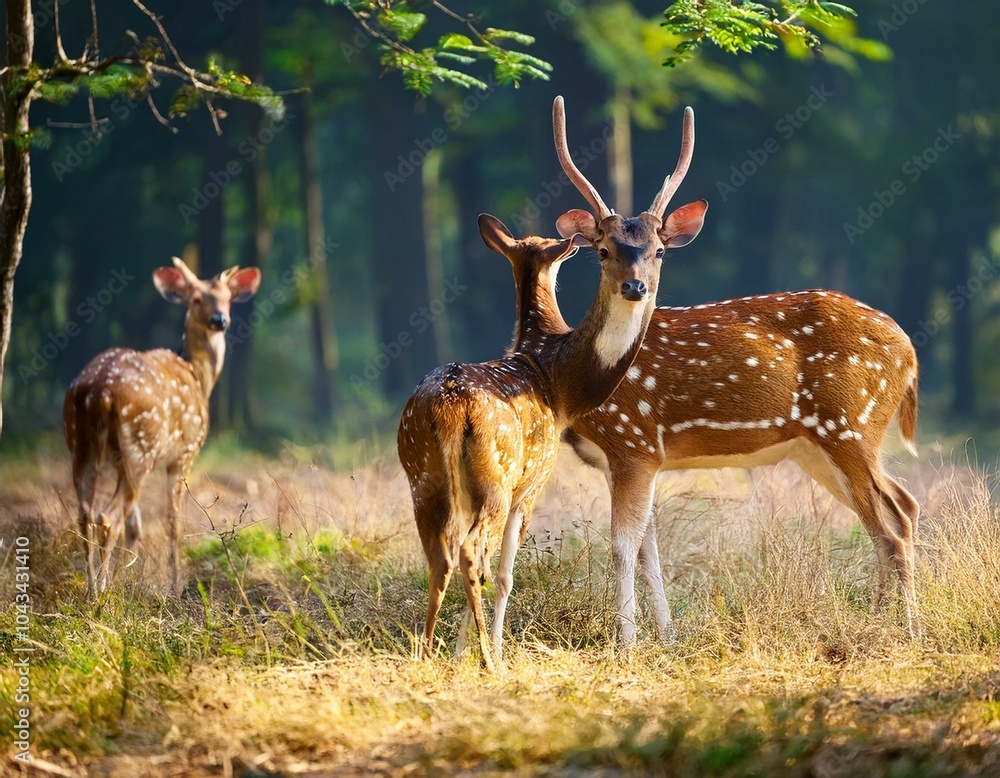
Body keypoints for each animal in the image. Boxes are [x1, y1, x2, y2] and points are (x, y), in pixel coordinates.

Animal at [64, 258, 261, 596]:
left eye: (227, 298)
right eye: (196, 299)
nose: (219, 319)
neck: (198, 376)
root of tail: (99, 392)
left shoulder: (119, 460)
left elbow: (136, 527)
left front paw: (125, 579)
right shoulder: (185, 452)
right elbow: (173, 520)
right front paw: (175, 583)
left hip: (82, 442)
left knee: (87, 512)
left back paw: (93, 587)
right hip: (142, 444)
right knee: (109, 515)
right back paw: (101, 592)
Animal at [397, 96, 706, 671]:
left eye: (659, 250)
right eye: (604, 249)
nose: (636, 286)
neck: (555, 378)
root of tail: (447, 410)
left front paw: (460, 650)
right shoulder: (536, 476)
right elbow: (504, 571)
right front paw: (489, 647)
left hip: (419, 473)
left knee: (438, 555)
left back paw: (426, 653)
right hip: (495, 475)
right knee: (470, 552)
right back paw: (490, 661)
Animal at [563, 279, 920, 642]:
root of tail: (910, 352)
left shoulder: (632, 443)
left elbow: (625, 546)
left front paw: (628, 642)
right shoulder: (619, 462)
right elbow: (648, 547)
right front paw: (668, 636)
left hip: (850, 429)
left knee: (891, 531)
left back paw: (902, 628)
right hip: (820, 450)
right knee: (905, 506)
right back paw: (883, 620)